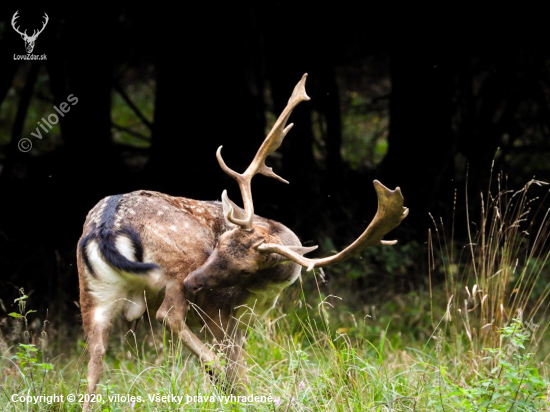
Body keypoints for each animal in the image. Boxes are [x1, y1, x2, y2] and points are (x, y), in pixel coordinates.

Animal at [75, 74, 408, 408]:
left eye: (247, 268)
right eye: (219, 242)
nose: (194, 283)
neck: (264, 293)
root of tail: (107, 227)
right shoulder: (223, 311)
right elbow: (234, 359)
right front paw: (236, 388)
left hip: (94, 292)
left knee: (92, 365)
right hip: (175, 267)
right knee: (169, 317)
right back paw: (229, 379)